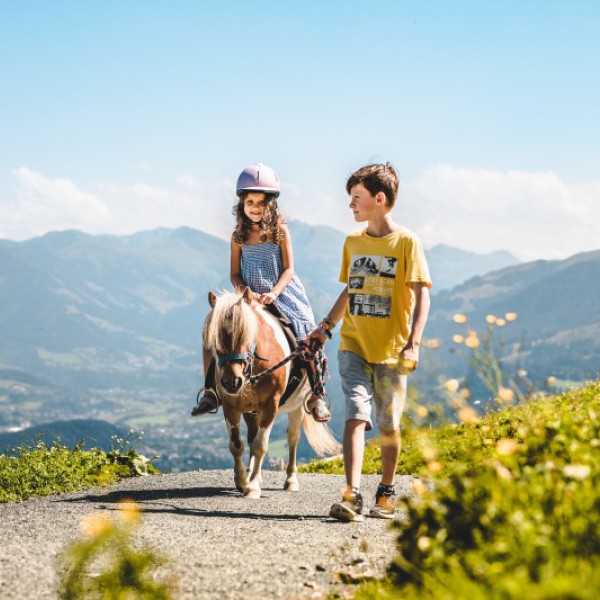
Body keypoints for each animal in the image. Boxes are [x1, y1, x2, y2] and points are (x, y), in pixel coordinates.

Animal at [204, 288, 340, 500]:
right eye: (214, 339)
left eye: (246, 335)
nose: (231, 382)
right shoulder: (230, 406)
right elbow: (237, 445)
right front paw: (242, 481)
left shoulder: (271, 405)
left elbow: (261, 445)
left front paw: (253, 487)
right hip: (251, 410)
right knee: (251, 438)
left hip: (296, 407)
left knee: (292, 438)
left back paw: (290, 481)